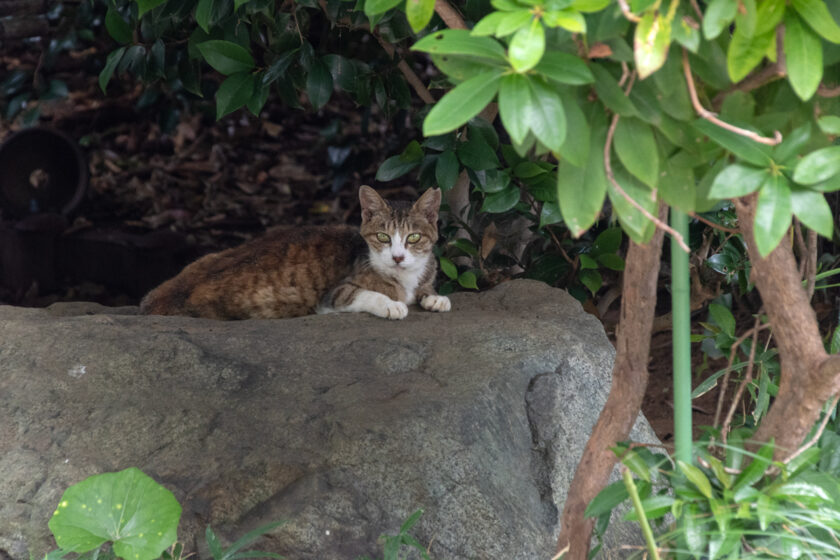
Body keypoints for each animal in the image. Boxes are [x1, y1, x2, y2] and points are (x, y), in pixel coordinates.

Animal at [141, 185, 450, 320]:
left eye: (413, 237)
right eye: (383, 237)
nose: (397, 257)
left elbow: (426, 289)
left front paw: (435, 298)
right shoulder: (332, 297)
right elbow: (366, 294)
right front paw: (392, 305)